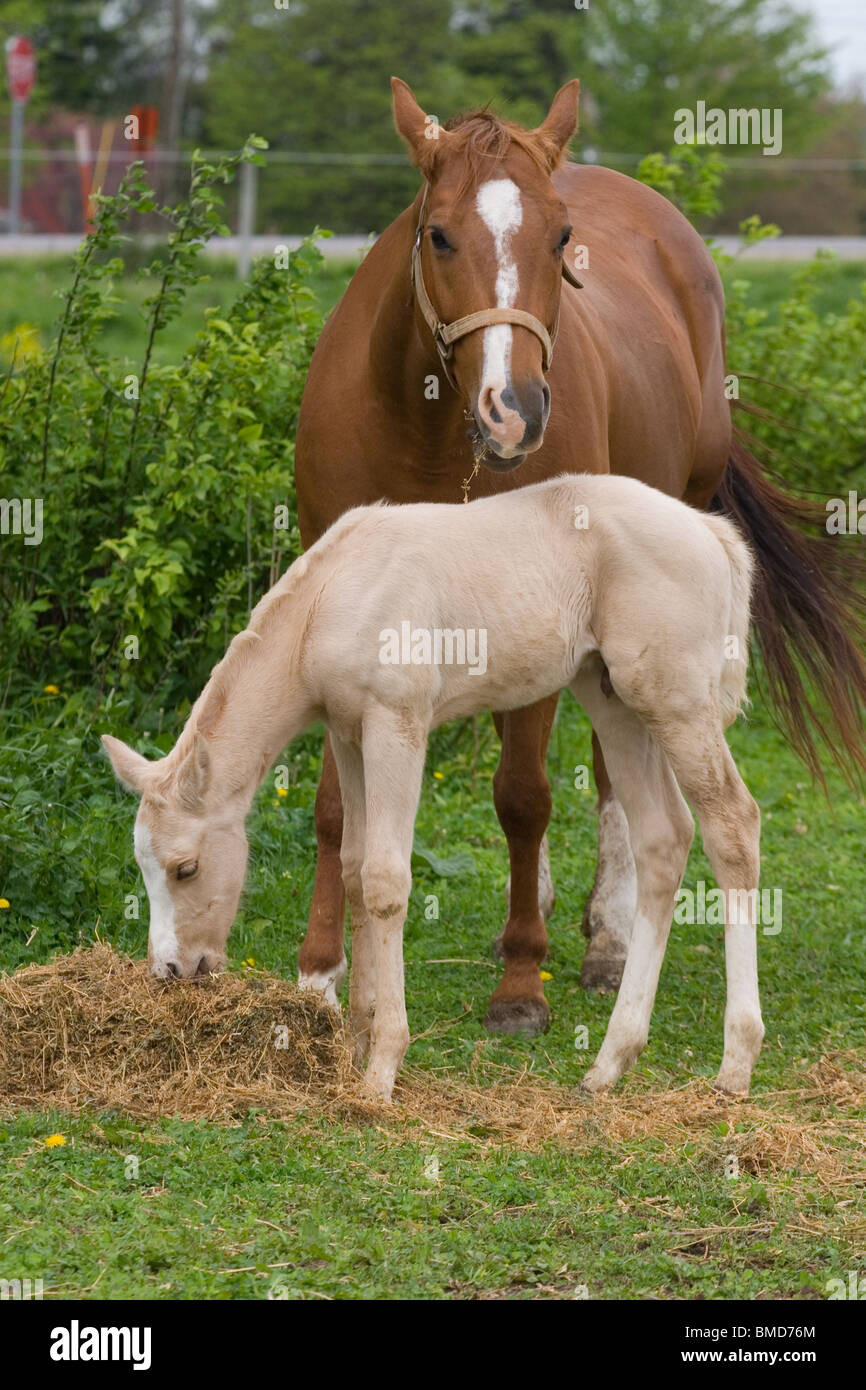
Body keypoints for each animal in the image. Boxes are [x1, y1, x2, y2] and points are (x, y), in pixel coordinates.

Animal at [103, 472, 762, 1104]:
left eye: (186, 868)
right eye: (142, 867)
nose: (170, 968)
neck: (331, 601)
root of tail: (711, 532)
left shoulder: (396, 722)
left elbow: (386, 880)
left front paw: (382, 1069)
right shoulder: (347, 733)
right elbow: (353, 867)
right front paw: (356, 1041)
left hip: (676, 702)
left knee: (733, 825)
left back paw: (735, 1064)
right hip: (613, 700)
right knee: (663, 839)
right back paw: (609, 1063)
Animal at [292, 77, 866, 1036]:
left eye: (562, 239)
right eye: (437, 232)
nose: (515, 411)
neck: (420, 423)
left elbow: (523, 795)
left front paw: (522, 982)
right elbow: (338, 803)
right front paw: (318, 975)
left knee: (609, 768)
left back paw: (608, 935)